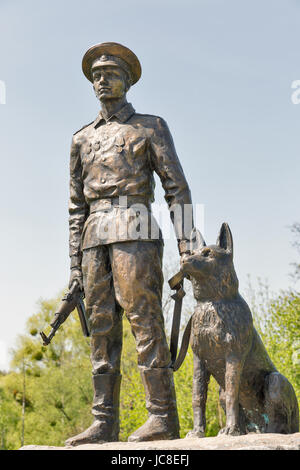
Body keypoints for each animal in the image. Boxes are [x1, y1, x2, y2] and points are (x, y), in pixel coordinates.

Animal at [182, 224, 298, 436]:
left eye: (208, 253)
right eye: (192, 252)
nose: (184, 259)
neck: (213, 302)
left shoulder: (233, 355)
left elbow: (232, 395)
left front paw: (230, 429)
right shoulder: (199, 358)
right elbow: (198, 397)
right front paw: (197, 432)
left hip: (276, 382)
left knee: (278, 419)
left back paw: (267, 431)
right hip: (222, 394)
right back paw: (245, 430)